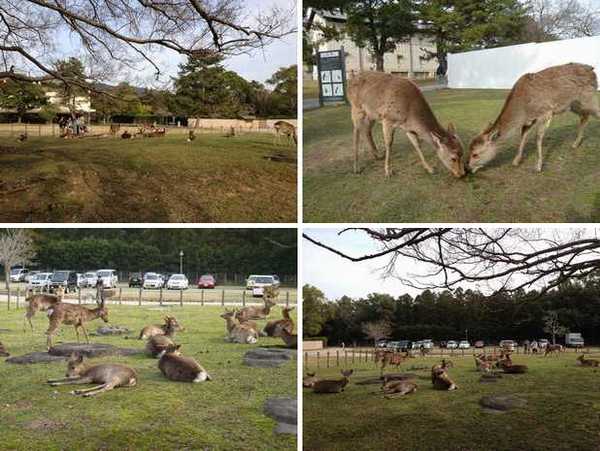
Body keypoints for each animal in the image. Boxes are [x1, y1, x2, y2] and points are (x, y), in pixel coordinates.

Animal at [468, 64, 600, 174]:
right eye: (469, 150)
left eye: (475, 154)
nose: (468, 168)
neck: (524, 110)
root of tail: (593, 71)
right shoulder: (529, 120)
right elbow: (523, 136)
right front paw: (516, 161)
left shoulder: (546, 112)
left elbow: (538, 137)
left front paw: (538, 166)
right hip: (573, 104)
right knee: (584, 116)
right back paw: (575, 144)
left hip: (588, 98)